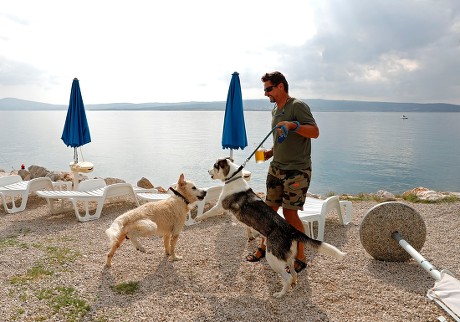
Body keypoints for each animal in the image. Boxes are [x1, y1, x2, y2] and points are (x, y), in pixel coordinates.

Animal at [194, 157, 344, 298]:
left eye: (215, 166)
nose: (208, 171)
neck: (233, 178)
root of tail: (291, 230)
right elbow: (248, 228)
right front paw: (251, 236)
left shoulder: (220, 206)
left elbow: (207, 213)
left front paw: (197, 218)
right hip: (288, 258)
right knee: (294, 273)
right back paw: (293, 284)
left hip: (272, 258)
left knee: (287, 277)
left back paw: (280, 294)